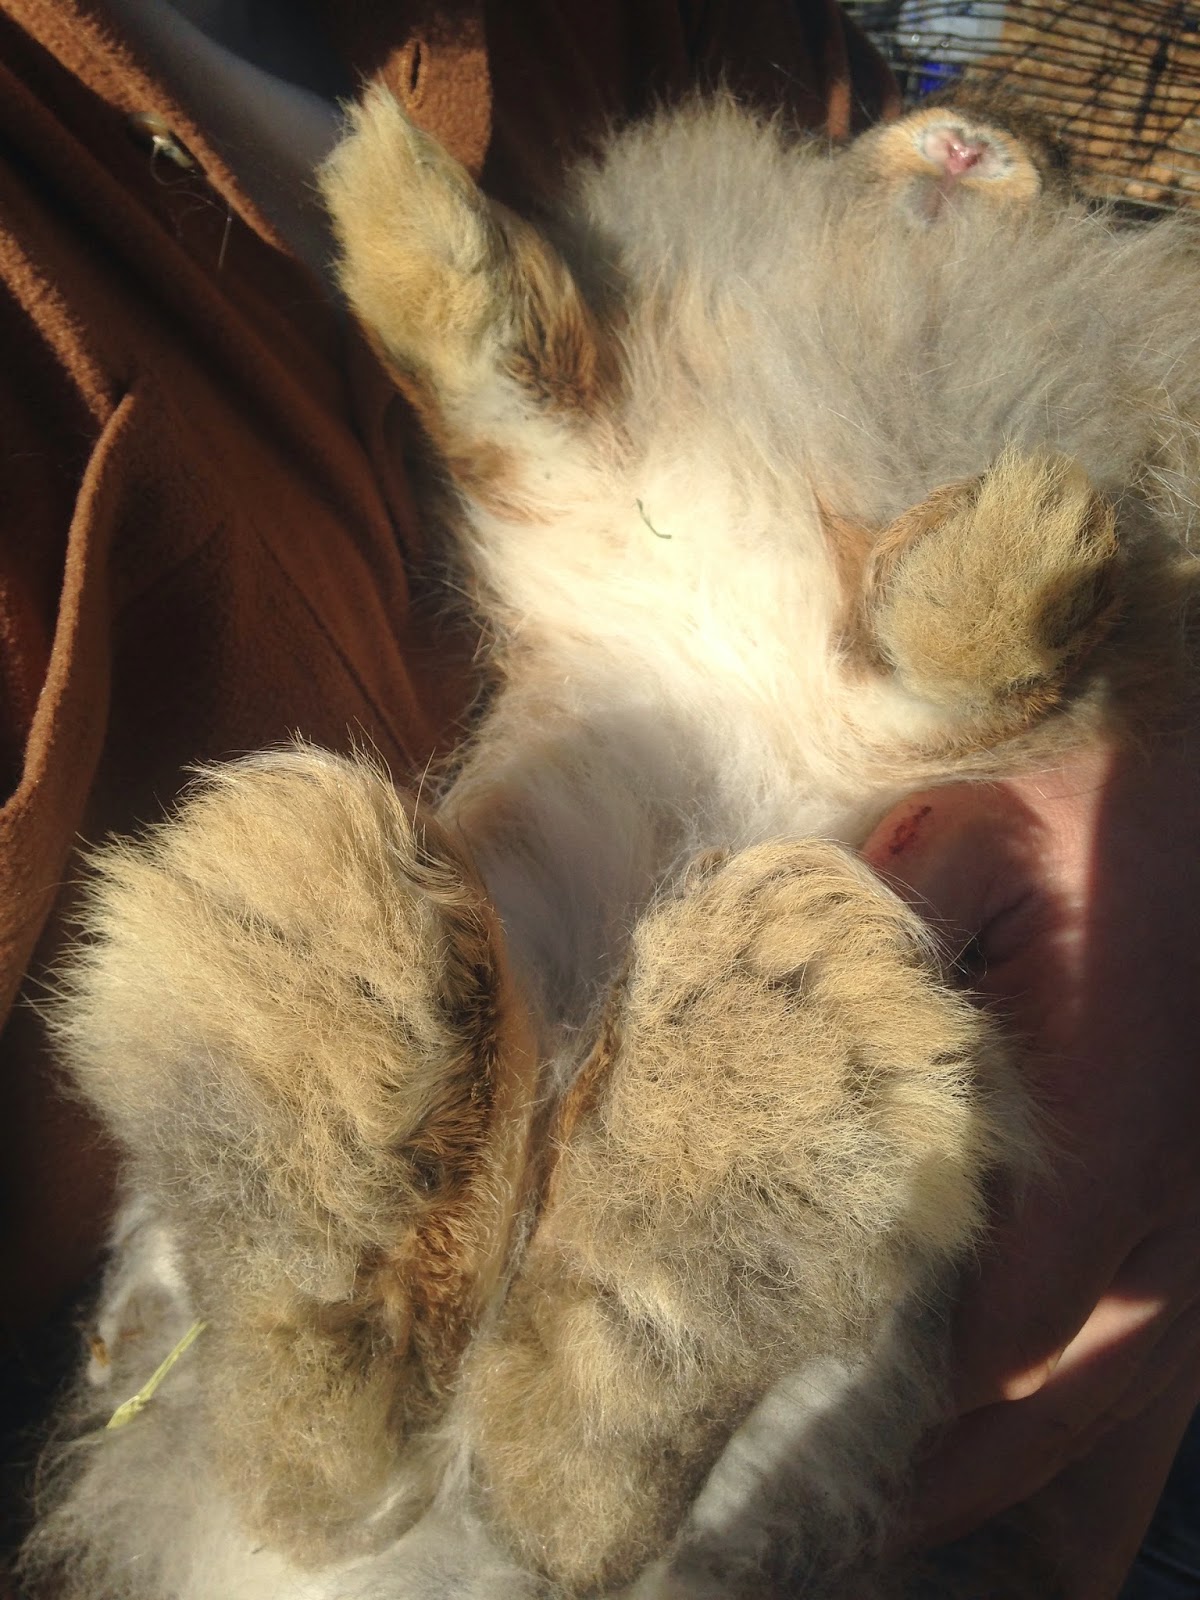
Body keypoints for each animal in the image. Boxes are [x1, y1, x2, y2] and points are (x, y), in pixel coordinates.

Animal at [22, 90, 1200, 1600]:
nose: (964, 137)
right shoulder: (577, 477)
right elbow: (508, 396)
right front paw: (398, 206)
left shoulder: (968, 715)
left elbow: (970, 674)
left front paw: (1032, 546)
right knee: (365, 1445)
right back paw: (325, 1047)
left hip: (907, 1241)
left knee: (570, 1497)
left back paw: (760, 1054)